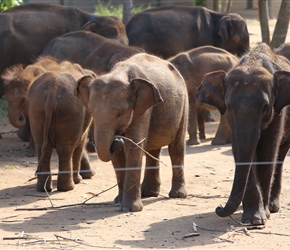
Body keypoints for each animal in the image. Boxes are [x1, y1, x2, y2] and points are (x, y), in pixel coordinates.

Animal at [1, 57, 95, 191]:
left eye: (24, 100)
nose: (21, 116)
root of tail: (52, 90)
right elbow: (80, 141)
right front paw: (83, 178)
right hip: (69, 111)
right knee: (65, 148)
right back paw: (68, 187)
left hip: (39, 107)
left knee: (44, 148)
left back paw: (43, 187)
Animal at [75, 52, 188, 211]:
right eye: (91, 112)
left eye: (120, 114)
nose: (118, 139)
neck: (119, 73)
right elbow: (119, 155)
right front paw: (118, 201)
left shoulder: (142, 109)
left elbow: (133, 146)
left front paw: (129, 209)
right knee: (153, 149)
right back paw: (148, 193)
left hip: (183, 105)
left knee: (176, 147)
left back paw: (177, 195)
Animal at [196, 43, 290, 225]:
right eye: (229, 106)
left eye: (266, 107)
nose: (218, 208)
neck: (253, 61)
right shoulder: (232, 119)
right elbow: (241, 149)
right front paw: (253, 219)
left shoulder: (278, 112)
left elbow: (268, 150)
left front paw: (263, 216)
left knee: (280, 155)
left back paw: (273, 207)